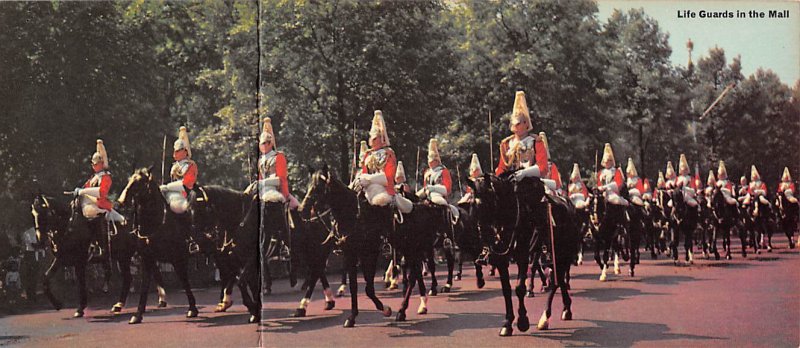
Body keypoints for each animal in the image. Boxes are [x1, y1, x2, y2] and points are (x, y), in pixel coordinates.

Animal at [118, 167, 200, 324]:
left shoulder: (178, 259)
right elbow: (145, 285)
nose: (121, 200)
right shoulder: (147, 258)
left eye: (140, 181)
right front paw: (138, 315)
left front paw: (193, 309)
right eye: (130, 179)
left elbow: (184, 281)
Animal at [302, 167, 392, 328]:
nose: (303, 209)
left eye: (319, 187)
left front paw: (385, 308)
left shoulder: (370, 253)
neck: (352, 215)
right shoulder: (350, 253)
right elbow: (354, 286)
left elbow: (369, 287)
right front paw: (352, 316)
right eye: (308, 185)